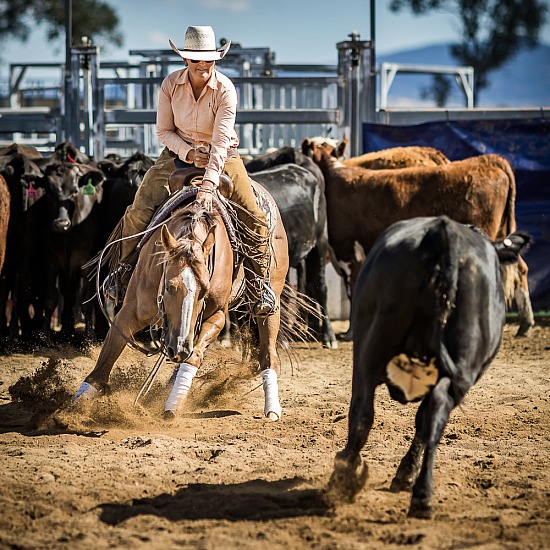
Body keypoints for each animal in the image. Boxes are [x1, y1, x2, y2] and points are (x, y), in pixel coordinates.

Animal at [75, 182, 292, 422]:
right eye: (169, 287)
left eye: (204, 291)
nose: (178, 346)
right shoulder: (131, 310)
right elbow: (108, 354)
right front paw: (75, 403)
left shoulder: (217, 316)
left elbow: (194, 355)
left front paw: (173, 404)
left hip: (271, 301)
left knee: (267, 351)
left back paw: (272, 408)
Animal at [304, 140, 536, 338]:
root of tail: (489, 160)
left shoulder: (348, 251)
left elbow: (352, 289)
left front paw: (350, 332)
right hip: (502, 236)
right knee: (520, 270)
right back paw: (523, 325)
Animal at [328, 217, 536, 520]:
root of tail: (443, 230)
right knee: (421, 415)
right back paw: (417, 494)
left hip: (370, 351)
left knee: (367, 412)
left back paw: (354, 477)